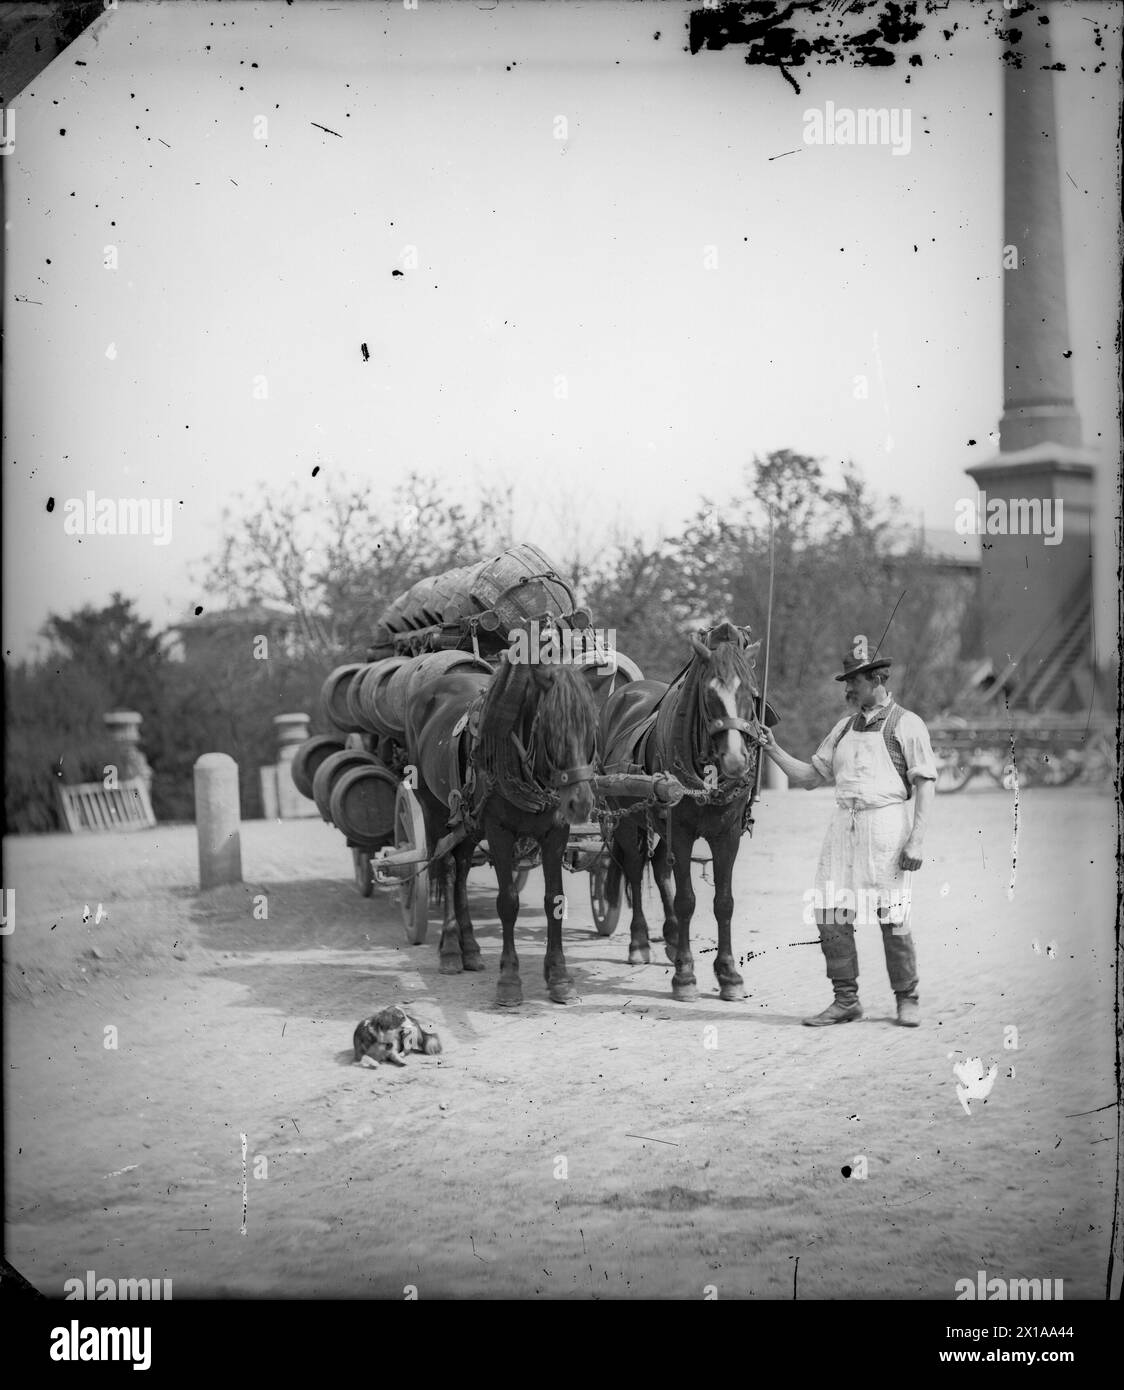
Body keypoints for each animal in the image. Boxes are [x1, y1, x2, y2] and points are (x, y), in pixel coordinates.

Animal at [400, 644, 597, 1006]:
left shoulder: (556, 833)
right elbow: (507, 902)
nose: (581, 803)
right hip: (434, 811)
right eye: (552, 730)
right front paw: (509, 980)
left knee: (462, 868)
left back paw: (470, 949)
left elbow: (554, 900)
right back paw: (451, 950)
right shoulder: (499, 832)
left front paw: (559, 977)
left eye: (591, 728)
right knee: (448, 869)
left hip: (468, 823)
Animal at [600, 625, 778, 1006]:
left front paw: (728, 974)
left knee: (658, 867)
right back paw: (640, 942)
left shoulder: (727, 836)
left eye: (752, 694)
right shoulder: (680, 832)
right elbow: (686, 900)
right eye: (709, 694)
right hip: (626, 820)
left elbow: (723, 902)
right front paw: (685, 975)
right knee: (636, 870)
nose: (736, 761)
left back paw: (669, 939)